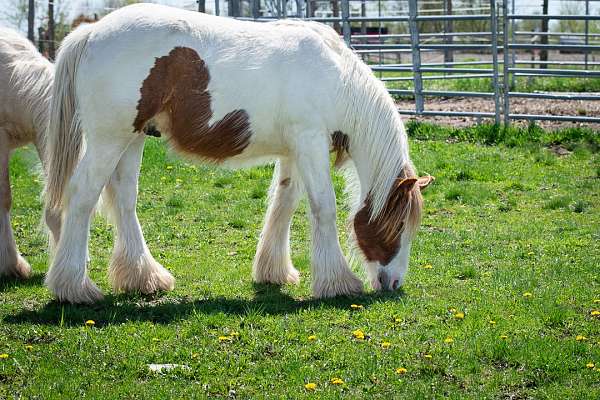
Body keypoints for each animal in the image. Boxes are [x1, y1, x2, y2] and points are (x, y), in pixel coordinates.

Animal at [44, 3, 434, 304]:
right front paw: (337, 282)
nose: (394, 283)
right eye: (400, 224)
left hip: (132, 139)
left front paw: (273, 272)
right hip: (108, 140)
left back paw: (143, 278)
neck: (336, 78)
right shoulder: (310, 142)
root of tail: (91, 32)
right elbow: (323, 206)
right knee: (82, 197)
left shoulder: (294, 150)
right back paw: (74, 287)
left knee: (123, 200)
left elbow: (283, 203)